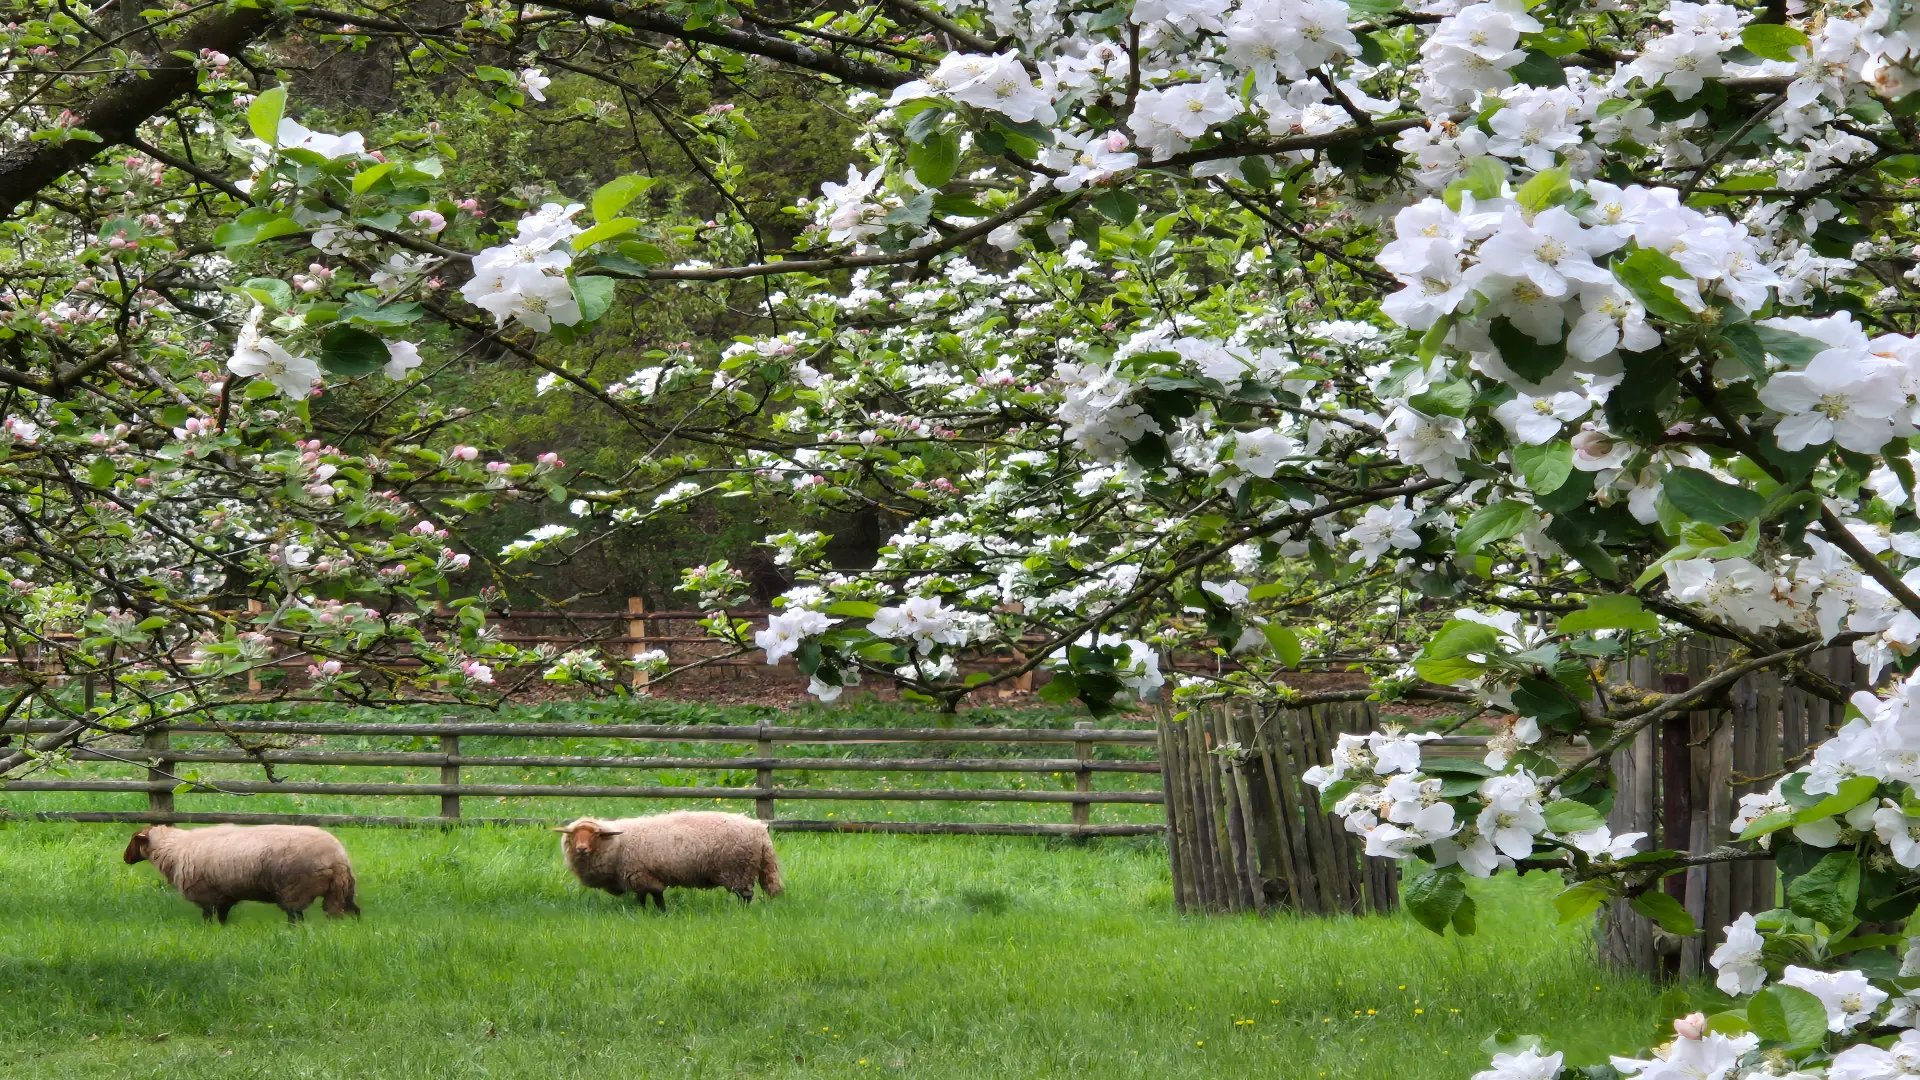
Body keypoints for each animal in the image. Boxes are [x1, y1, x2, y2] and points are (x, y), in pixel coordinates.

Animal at [123, 824, 360, 924]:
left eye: (134, 839)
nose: (125, 858)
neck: (174, 848)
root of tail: (337, 857)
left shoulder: (205, 894)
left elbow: (208, 917)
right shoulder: (224, 895)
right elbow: (222, 917)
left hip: (294, 889)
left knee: (296, 917)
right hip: (341, 889)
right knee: (353, 910)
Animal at [557, 811, 783, 911]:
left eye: (594, 835)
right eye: (574, 835)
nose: (582, 848)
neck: (616, 843)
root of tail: (760, 830)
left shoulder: (641, 874)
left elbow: (656, 894)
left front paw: (661, 912)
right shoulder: (636, 876)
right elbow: (642, 897)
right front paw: (642, 912)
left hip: (737, 870)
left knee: (745, 895)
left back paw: (740, 911)